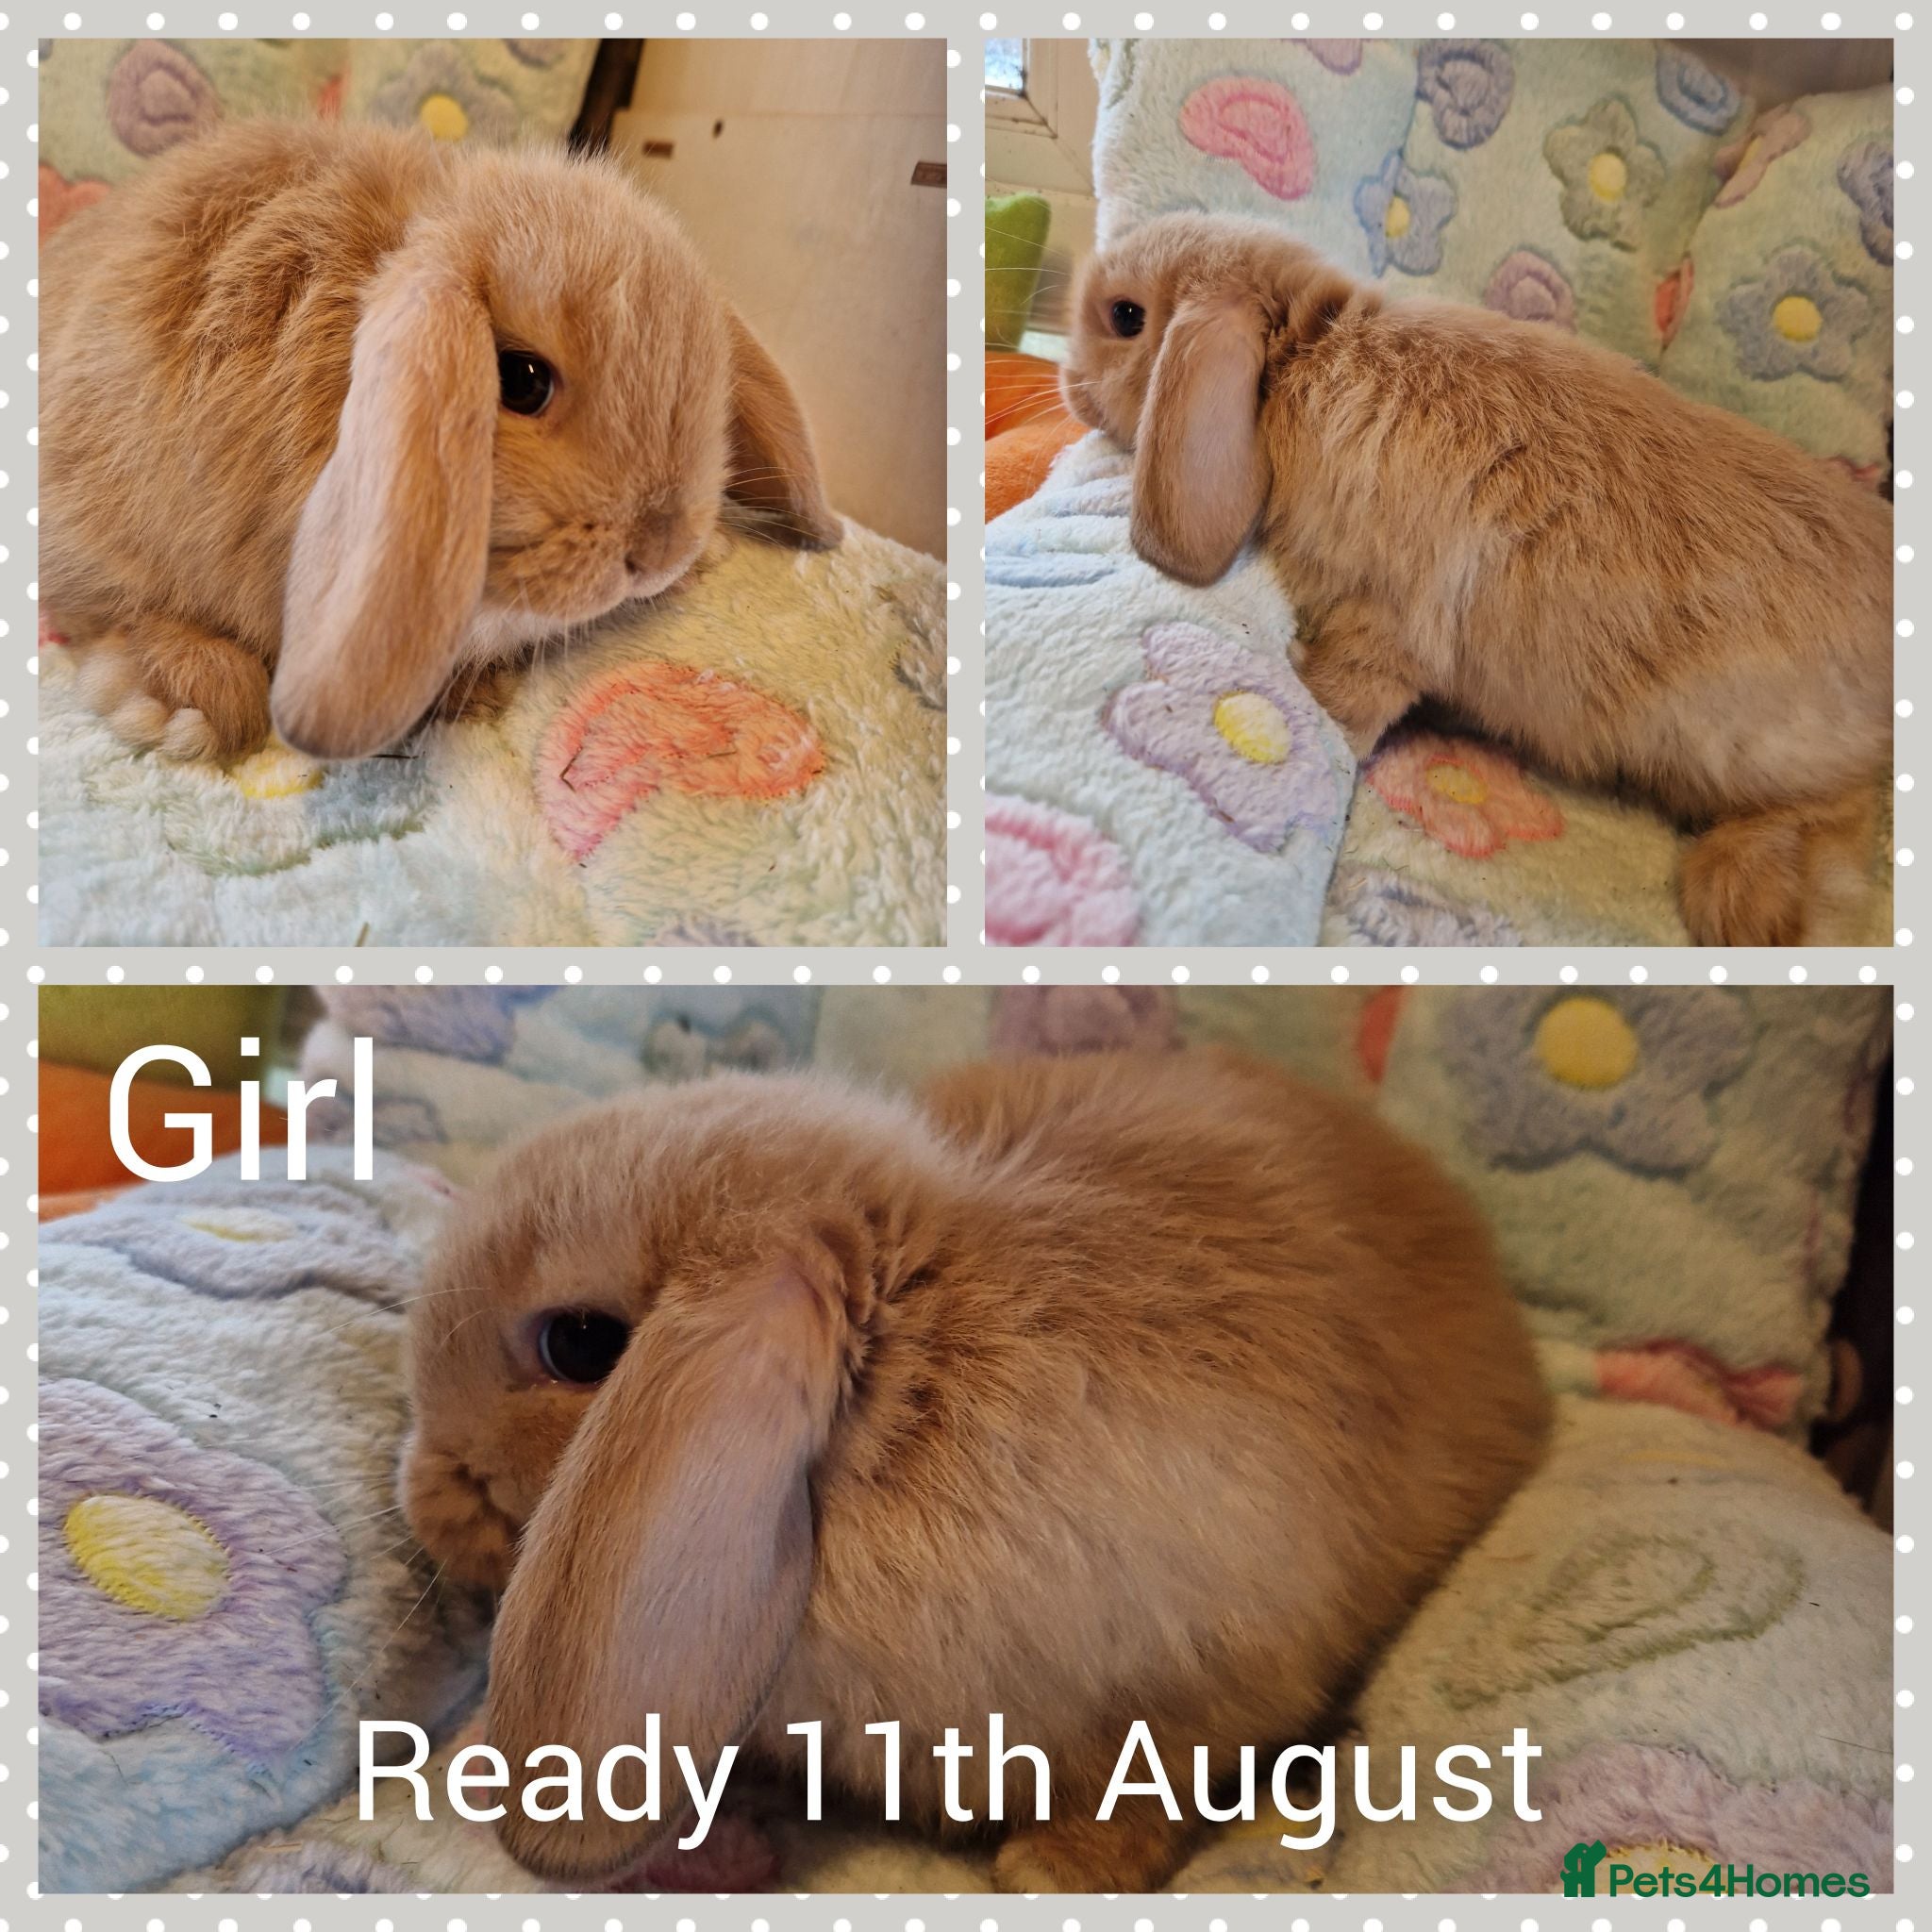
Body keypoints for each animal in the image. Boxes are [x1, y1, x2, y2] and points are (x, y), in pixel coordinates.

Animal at [401, 1049, 1552, 1891]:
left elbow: (1153, 1784)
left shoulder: (1209, 1670)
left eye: (581, 1344)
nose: (423, 1500)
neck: (904, 1379)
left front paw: (1049, 1872)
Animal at [1060, 212, 1894, 947]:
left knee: (1844, 808)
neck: (1302, 357)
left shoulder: (1390, 623)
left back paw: (1741, 902)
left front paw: (1312, 699)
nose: (1066, 386)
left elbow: (1350, 695)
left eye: (1126, 316)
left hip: (1747, 749)